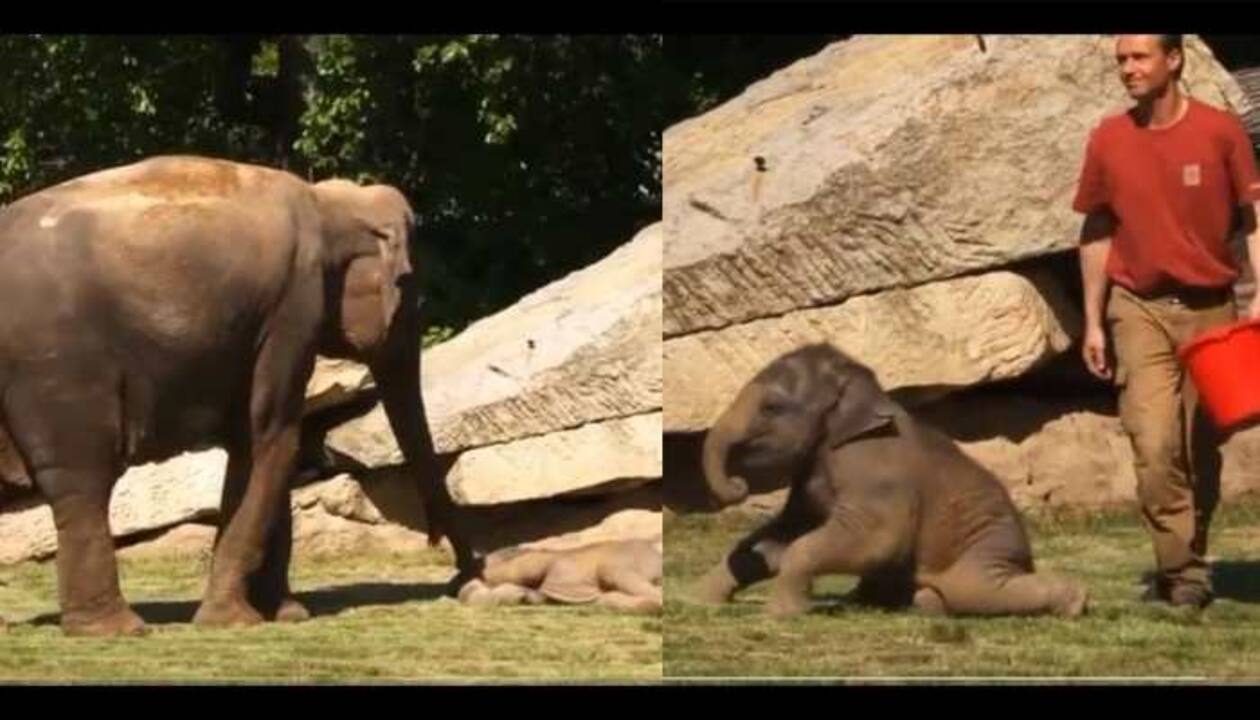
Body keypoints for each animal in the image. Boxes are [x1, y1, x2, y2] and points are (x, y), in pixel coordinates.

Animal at [0, 157, 476, 635]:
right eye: (409, 287)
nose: (466, 580)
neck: (326, 201)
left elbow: (265, 445)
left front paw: (286, 614)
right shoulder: (292, 309)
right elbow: (271, 437)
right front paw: (233, 620)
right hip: (59, 368)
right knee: (84, 480)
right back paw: (119, 629)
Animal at [695, 342, 1088, 620]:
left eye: (771, 408)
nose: (739, 485)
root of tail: (1025, 553)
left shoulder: (877, 472)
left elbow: (874, 538)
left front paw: (779, 615)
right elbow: (785, 533)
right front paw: (703, 599)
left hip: (985, 546)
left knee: (977, 590)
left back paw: (1075, 603)